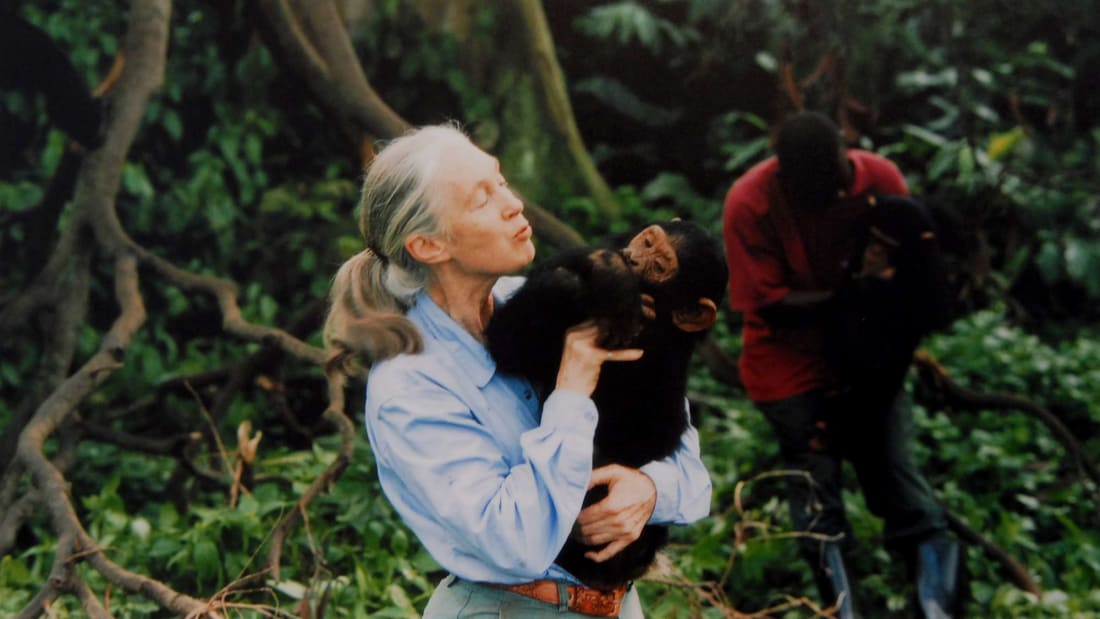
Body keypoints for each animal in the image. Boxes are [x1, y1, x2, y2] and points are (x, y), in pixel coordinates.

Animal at [484, 217, 726, 589]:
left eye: (660, 266)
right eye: (647, 241)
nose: (631, 257)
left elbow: (507, 344)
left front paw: (606, 276)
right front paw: (607, 268)